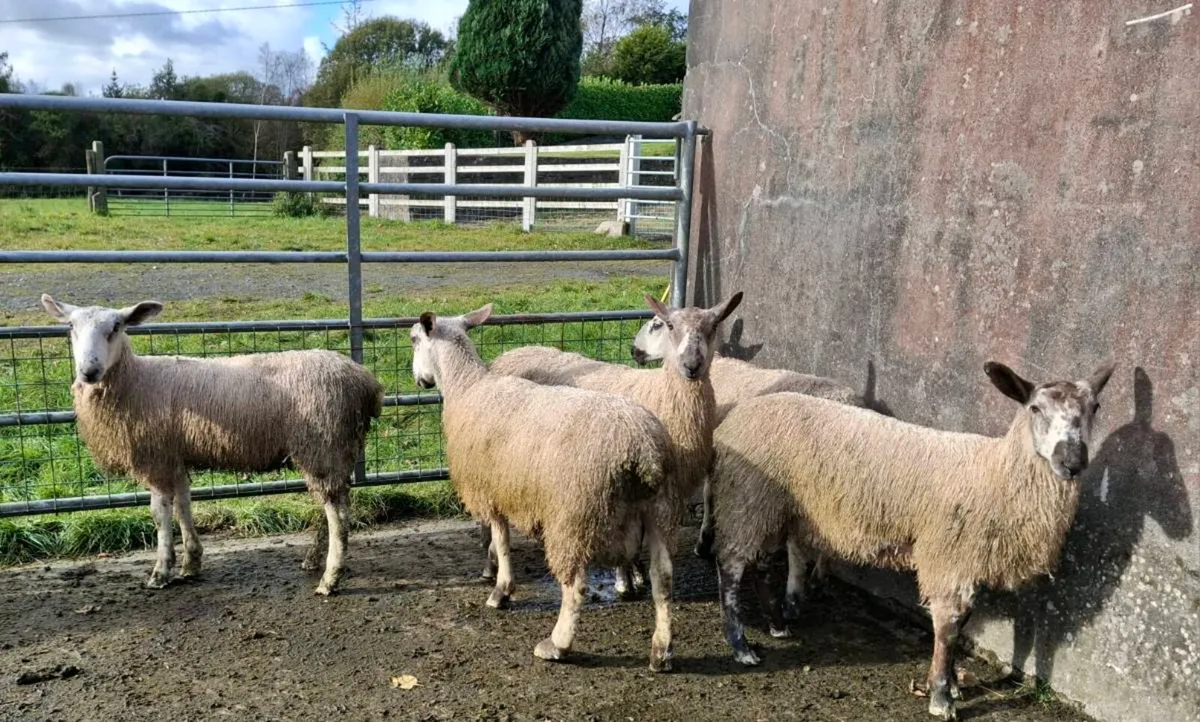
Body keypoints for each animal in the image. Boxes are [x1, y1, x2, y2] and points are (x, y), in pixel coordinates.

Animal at [41, 295, 384, 596]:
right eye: (70, 326)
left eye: (116, 326)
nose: (89, 371)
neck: (134, 380)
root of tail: (365, 381)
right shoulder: (175, 456)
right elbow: (183, 505)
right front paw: (191, 562)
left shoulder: (157, 457)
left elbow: (159, 514)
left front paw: (161, 571)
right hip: (338, 447)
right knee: (336, 504)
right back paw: (314, 558)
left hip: (321, 444)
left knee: (339, 515)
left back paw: (330, 577)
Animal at [409, 304, 677, 670]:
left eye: (412, 339)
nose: (418, 380)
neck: (467, 385)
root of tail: (643, 451)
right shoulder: (503, 487)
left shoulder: (490, 489)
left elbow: (501, 540)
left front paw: (501, 590)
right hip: (658, 508)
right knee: (663, 578)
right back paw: (660, 651)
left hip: (574, 515)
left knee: (575, 586)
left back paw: (557, 645)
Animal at [489, 292, 743, 599]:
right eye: (668, 325)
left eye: (714, 326)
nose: (691, 366)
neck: (663, 394)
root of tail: (512, 352)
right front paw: (625, 581)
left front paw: (638, 574)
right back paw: (491, 564)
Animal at [629, 314, 864, 609]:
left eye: (658, 324)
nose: (633, 351)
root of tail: (847, 399)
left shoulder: (715, 450)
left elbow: (709, 495)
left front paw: (705, 541)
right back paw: (818, 580)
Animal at [709, 361, 1114, 720]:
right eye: (1035, 408)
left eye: (1094, 407)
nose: (1073, 462)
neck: (995, 474)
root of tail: (737, 415)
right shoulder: (947, 555)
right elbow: (949, 627)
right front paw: (941, 697)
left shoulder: (965, 558)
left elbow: (963, 624)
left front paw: (953, 685)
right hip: (748, 495)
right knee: (731, 566)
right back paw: (741, 645)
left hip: (772, 504)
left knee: (761, 564)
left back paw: (777, 624)